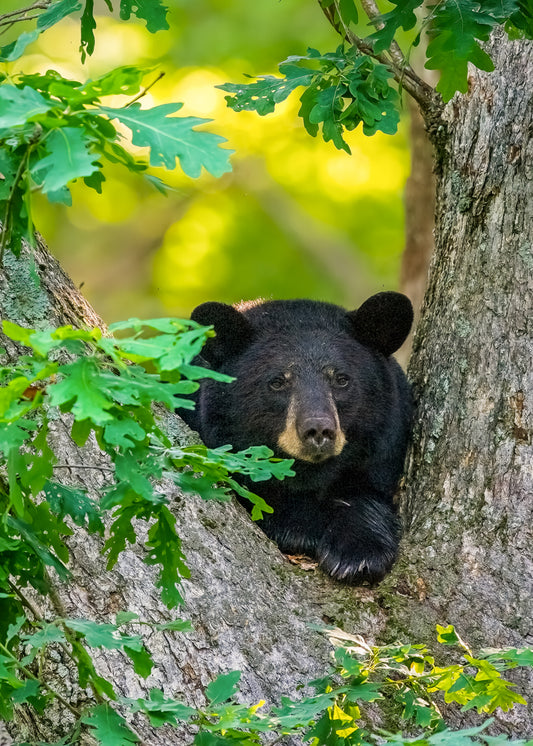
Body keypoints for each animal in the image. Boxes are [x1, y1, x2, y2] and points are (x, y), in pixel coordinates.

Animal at [181, 292, 413, 584]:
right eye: (278, 382)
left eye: (341, 379)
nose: (319, 429)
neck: (308, 475)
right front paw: (305, 528)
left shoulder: (382, 448)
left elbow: (366, 493)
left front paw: (359, 553)